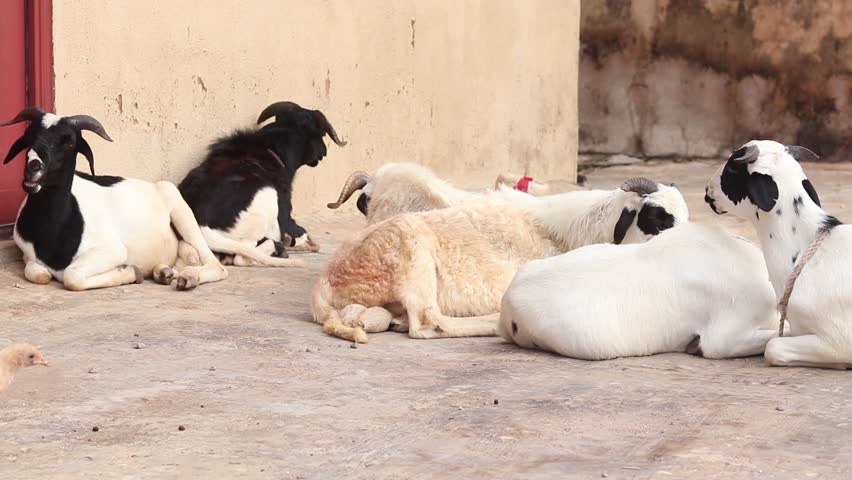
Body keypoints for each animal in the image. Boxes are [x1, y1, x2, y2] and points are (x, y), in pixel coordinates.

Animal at [2, 108, 227, 291]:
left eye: (69, 142)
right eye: (29, 135)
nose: (33, 166)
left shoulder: (111, 250)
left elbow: (72, 277)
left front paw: (129, 271)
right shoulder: (28, 255)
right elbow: (39, 274)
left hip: (181, 211)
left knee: (217, 266)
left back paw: (188, 278)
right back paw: (163, 272)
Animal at [178, 101, 346, 266]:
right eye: (321, 133)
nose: (324, 152)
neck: (270, 148)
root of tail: (201, 227)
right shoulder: (285, 215)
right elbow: (298, 232)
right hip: (267, 197)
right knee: (242, 257)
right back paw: (278, 249)